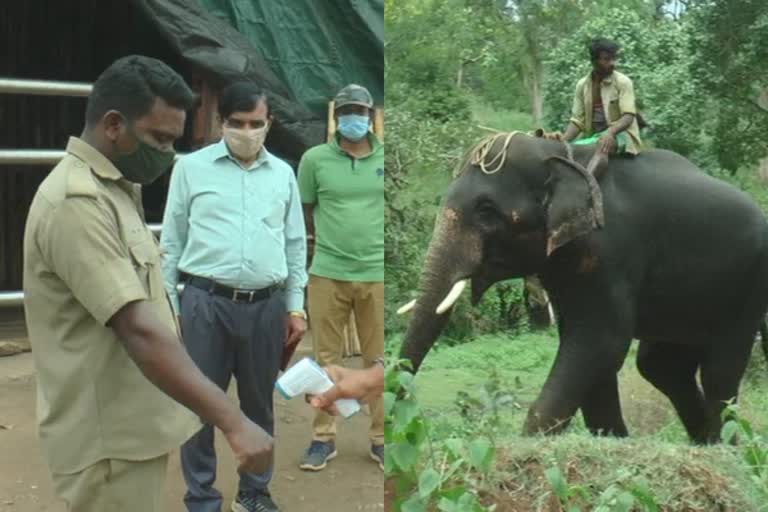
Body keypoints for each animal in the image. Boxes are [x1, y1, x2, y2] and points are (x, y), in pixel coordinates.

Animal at [400, 132, 768, 444]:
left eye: (486, 210)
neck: (563, 156)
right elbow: (589, 348)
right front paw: (614, 440)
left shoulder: (609, 250)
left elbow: (601, 341)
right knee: (661, 366)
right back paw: (702, 441)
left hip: (747, 287)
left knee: (719, 369)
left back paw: (722, 445)